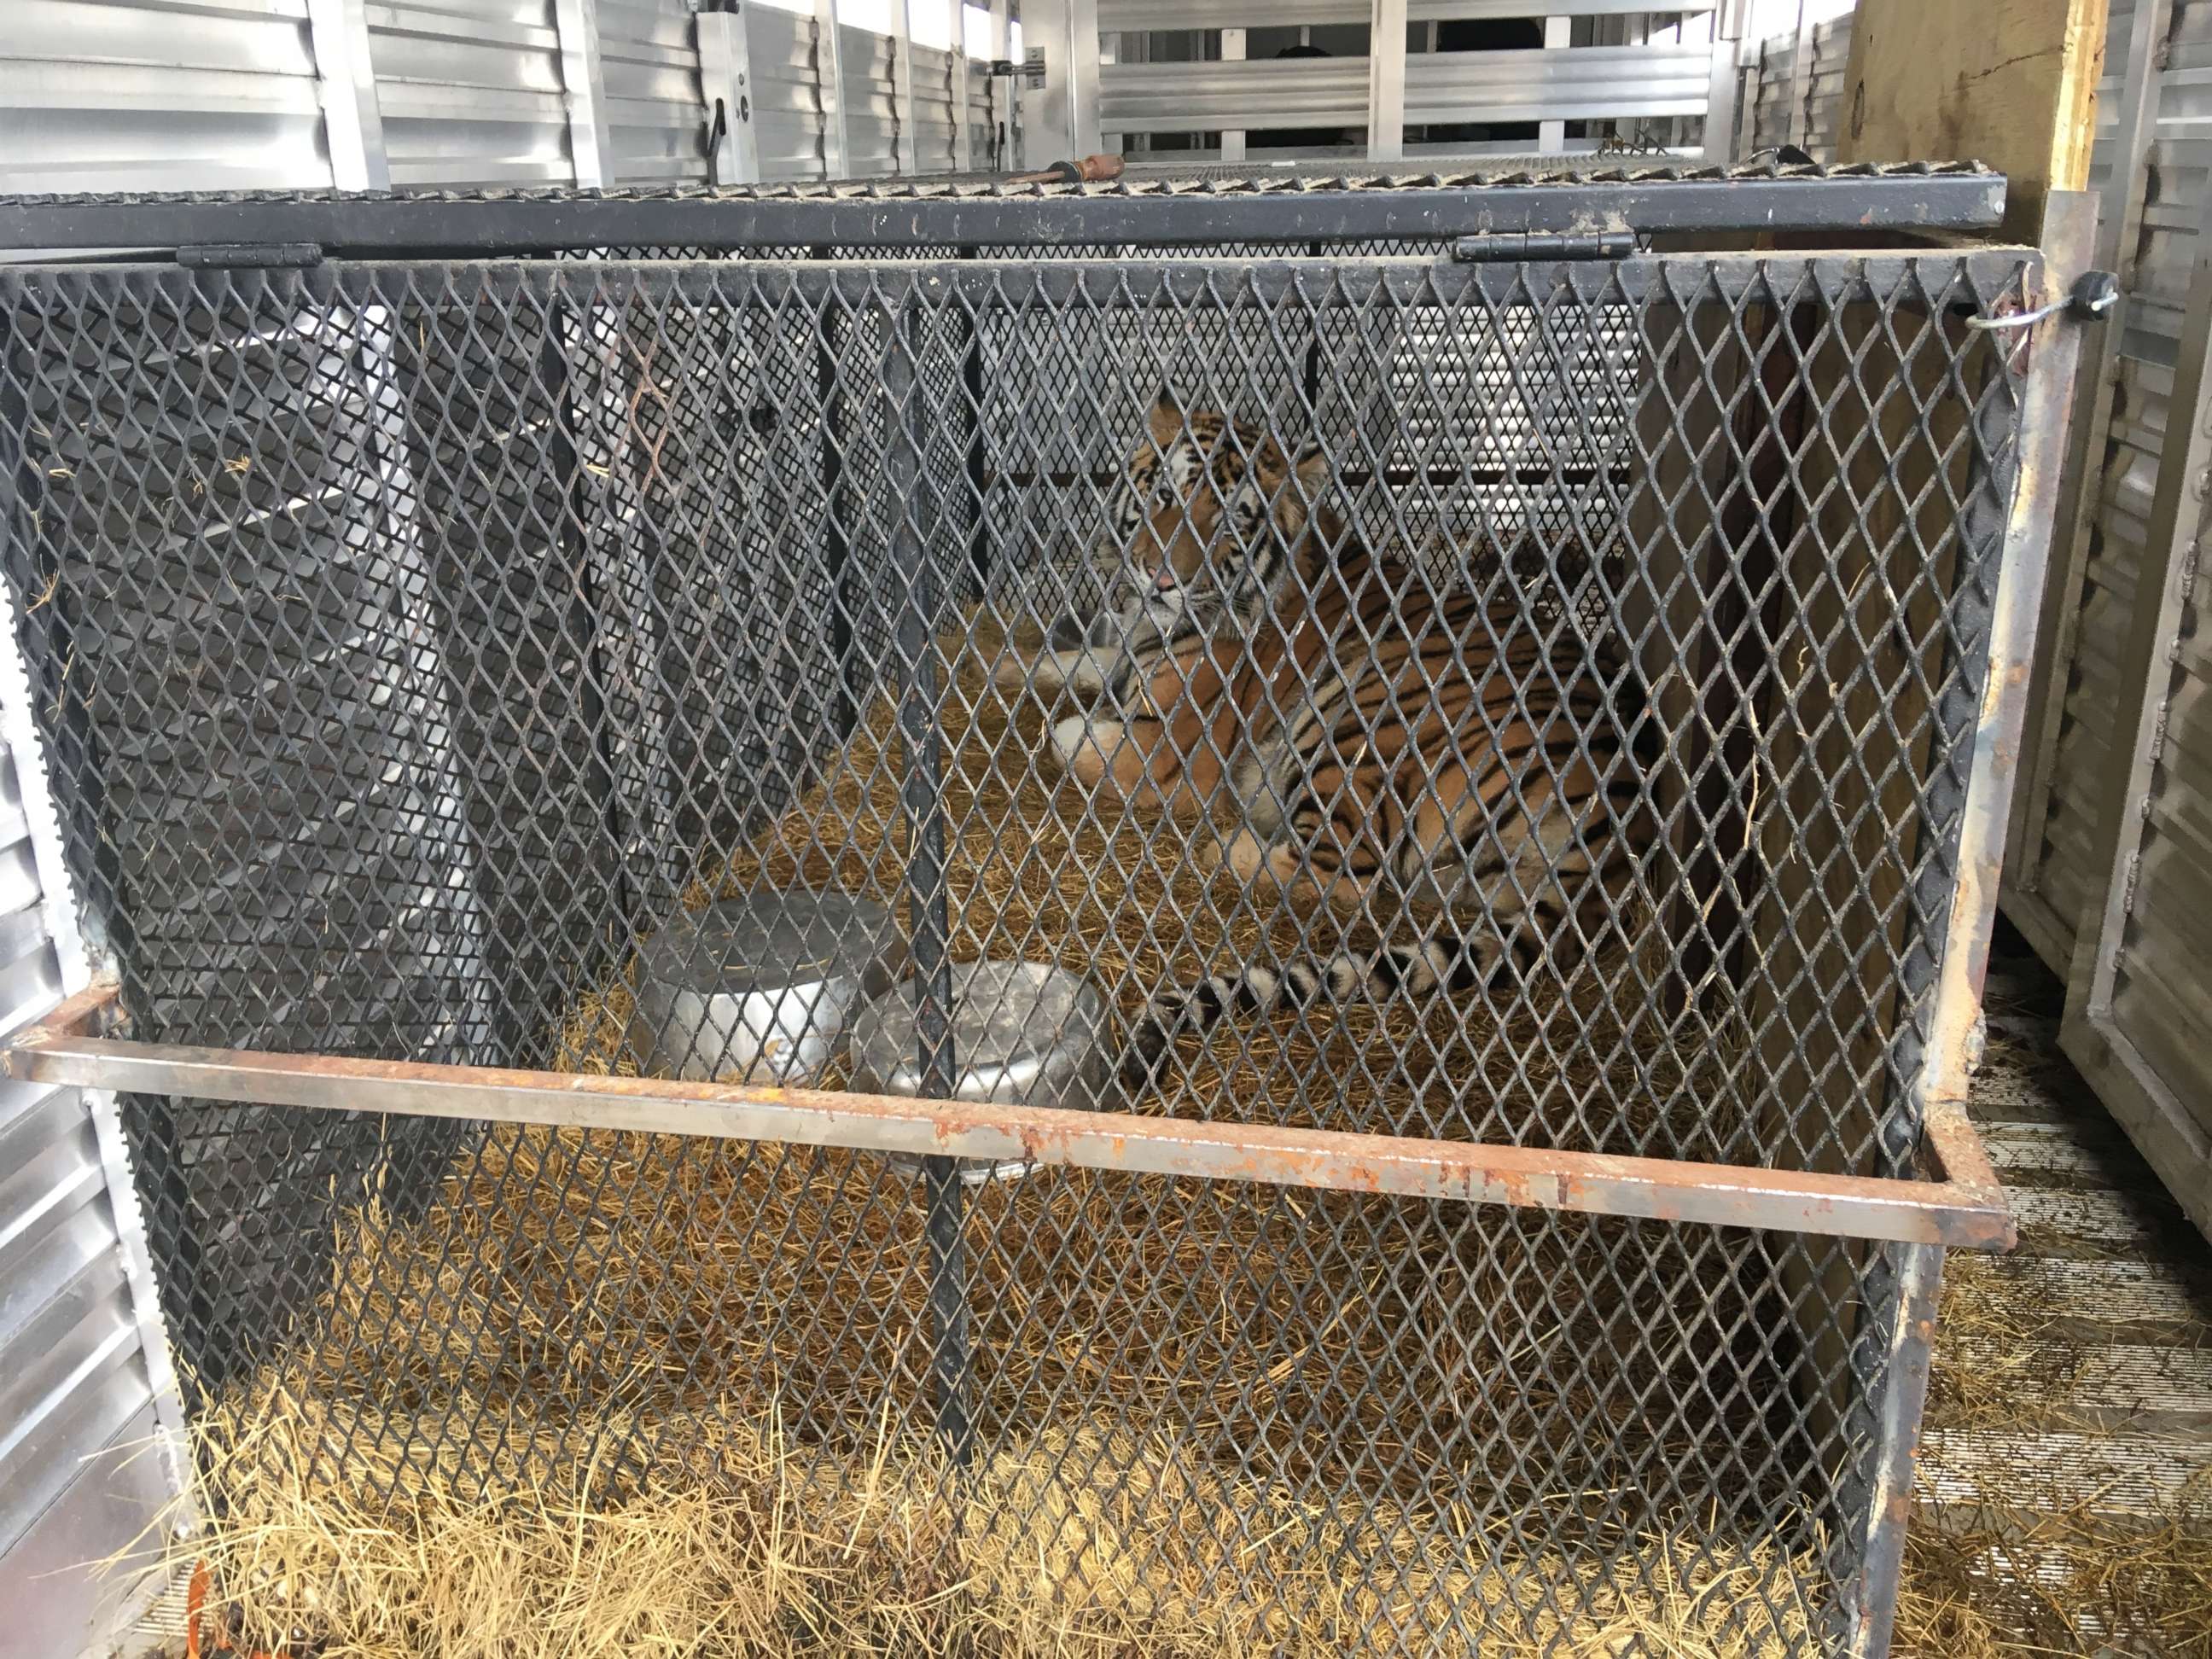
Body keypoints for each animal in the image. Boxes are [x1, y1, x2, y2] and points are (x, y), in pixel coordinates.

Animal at [995, 391, 1654, 1092]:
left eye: (1228, 526)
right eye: (1166, 496)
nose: (1162, 579)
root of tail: (1622, 833)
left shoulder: (1163, 753)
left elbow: (1063, 732)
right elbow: (1075, 663)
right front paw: (1004, 664)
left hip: (1352, 727)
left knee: (1351, 878)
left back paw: (1225, 842)